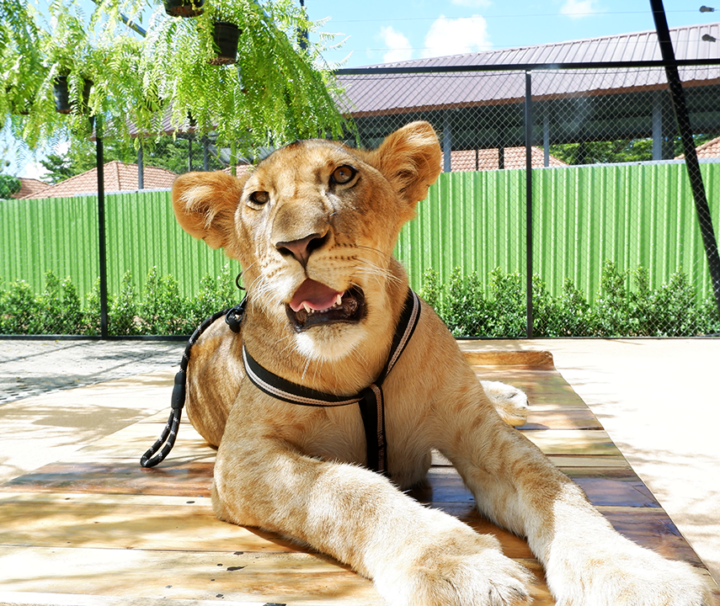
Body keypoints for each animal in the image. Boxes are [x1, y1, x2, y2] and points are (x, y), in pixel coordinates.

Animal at [171, 121, 713, 606]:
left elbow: (555, 488)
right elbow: (348, 488)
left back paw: (509, 397)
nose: (298, 244)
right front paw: (457, 565)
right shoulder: (241, 461)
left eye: (343, 175)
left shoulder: (475, 430)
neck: (353, 360)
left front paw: (637, 575)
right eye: (258, 200)